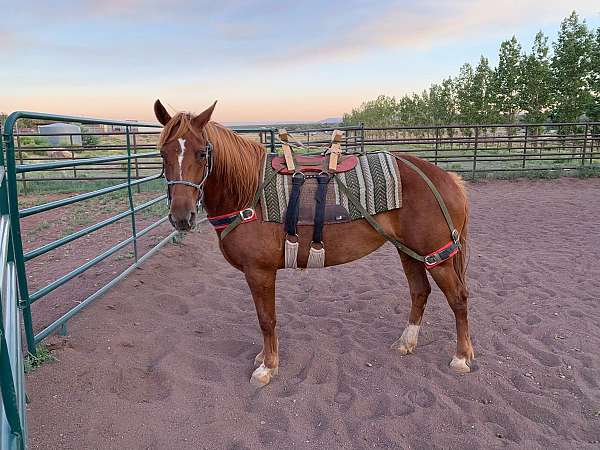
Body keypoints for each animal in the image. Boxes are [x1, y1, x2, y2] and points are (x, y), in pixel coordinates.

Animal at [154, 101, 474, 386]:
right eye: (162, 154)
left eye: (201, 153)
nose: (181, 216)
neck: (248, 194)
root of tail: (446, 178)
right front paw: (263, 357)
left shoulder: (259, 272)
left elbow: (266, 319)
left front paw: (268, 367)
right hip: (410, 252)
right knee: (420, 292)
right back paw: (406, 342)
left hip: (437, 256)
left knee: (458, 298)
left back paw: (461, 357)